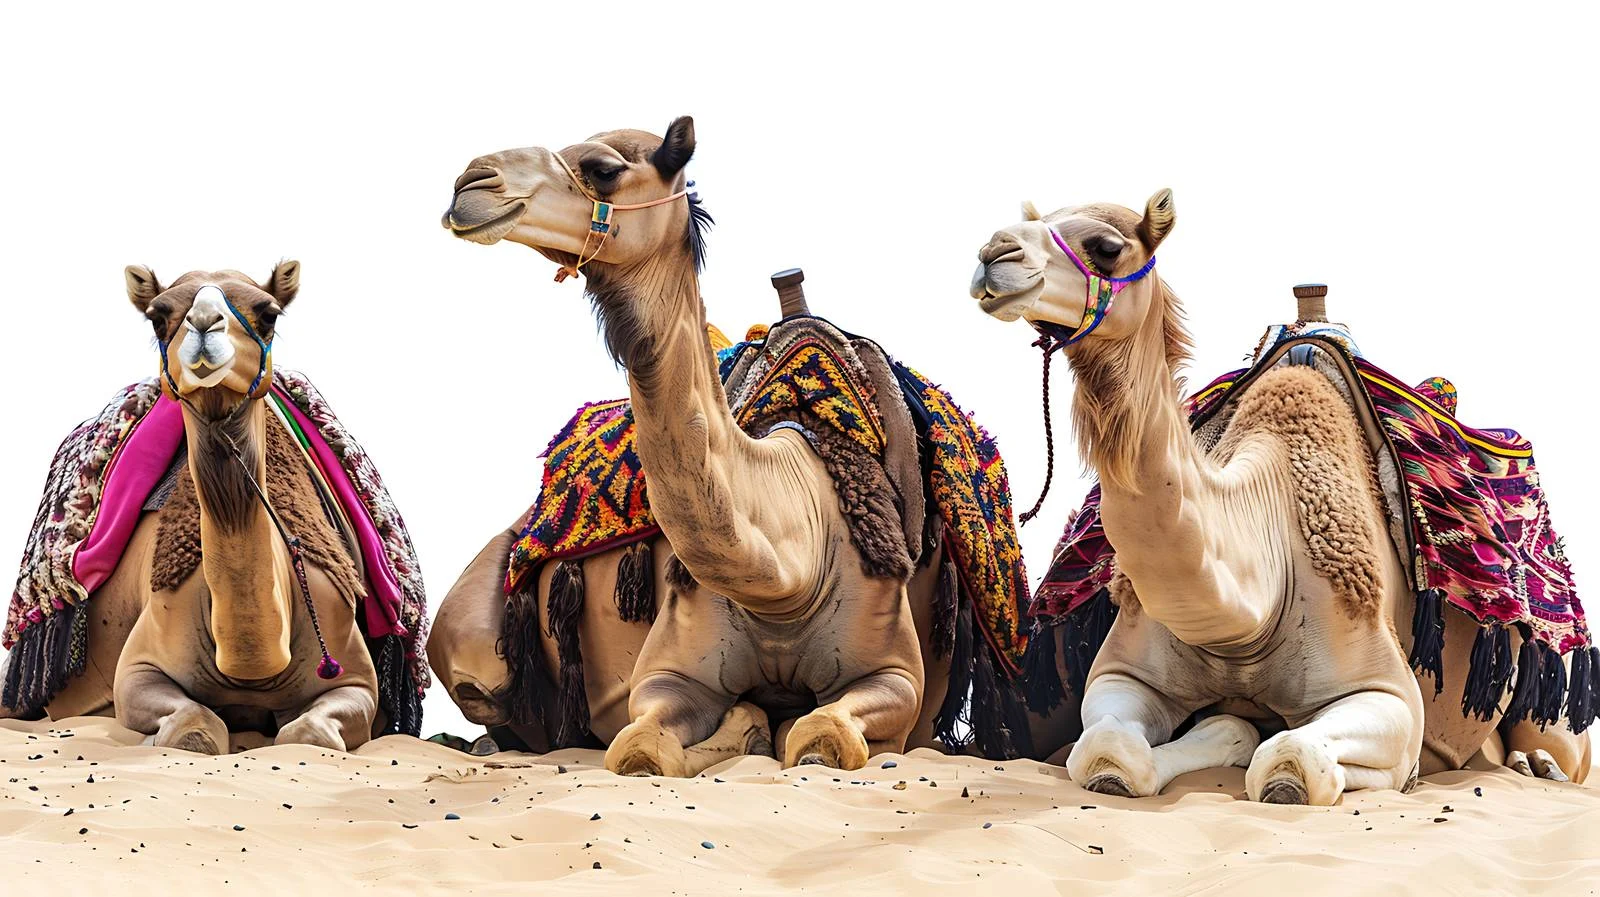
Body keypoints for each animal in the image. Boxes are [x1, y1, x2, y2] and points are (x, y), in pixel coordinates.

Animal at [17, 264, 382, 753]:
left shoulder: (355, 676)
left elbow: (308, 733)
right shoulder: (140, 667)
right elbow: (193, 730)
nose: (205, 322)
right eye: (157, 316)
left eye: (269, 314)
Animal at [432, 117, 1071, 774]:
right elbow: (641, 746)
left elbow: (822, 735)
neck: (787, 576)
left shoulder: (895, 678)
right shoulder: (668, 671)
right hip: (476, 638)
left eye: (604, 168)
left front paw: (769, 727)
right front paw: (745, 726)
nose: (472, 182)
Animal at [969, 194, 1589, 803]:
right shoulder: (1122, 672)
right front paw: (1224, 729)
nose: (993, 253)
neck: (1252, 608)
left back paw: (1537, 766)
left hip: (1556, 686)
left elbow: (1294, 756)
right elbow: (1107, 748)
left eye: (1105, 246)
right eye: (1040, 219)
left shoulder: (1388, 692)